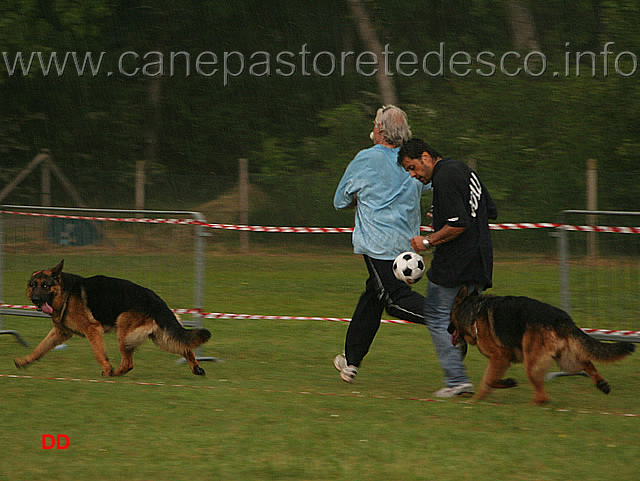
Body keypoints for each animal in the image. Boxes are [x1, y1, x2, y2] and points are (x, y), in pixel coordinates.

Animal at [16, 260, 211, 376]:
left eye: (45, 285)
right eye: (33, 285)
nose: (36, 300)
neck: (66, 293)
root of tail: (157, 302)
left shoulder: (93, 329)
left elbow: (98, 353)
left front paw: (107, 369)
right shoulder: (60, 333)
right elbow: (40, 348)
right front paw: (24, 361)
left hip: (124, 332)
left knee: (128, 364)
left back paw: (114, 374)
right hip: (160, 337)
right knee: (184, 347)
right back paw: (196, 367)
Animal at [450, 286, 636, 404]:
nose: (447, 328)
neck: (473, 312)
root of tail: (561, 318)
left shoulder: (500, 356)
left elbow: (489, 380)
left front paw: (507, 383)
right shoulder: (499, 360)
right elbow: (486, 382)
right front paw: (476, 401)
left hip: (532, 363)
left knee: (542, 397)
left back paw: (530, 406)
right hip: (565, 360)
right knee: (587, 363)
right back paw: (601, 384)